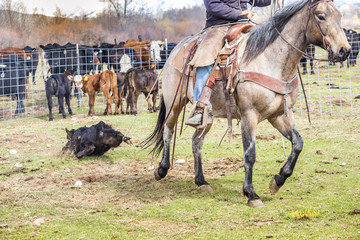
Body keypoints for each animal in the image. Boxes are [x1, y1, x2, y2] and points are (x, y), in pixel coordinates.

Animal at [142, 0, 350, 208]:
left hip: (207, 115)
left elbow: (298, 143)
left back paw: (201, 181)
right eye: (321, 16)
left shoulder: (280, 115)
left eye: (340, 16)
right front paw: (251, 194)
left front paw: (278, 180)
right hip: (174, 103)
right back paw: (161, 170)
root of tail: (176, 50)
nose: (344, 50)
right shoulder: (249, 116)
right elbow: (250, 155)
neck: (270, 61)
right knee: (168, 130)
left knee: (196, 141)